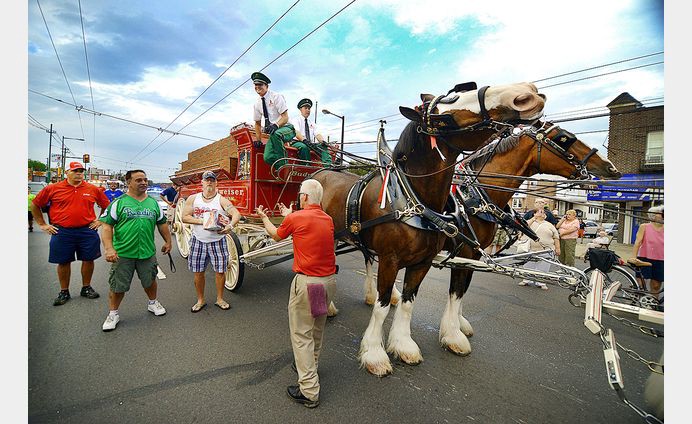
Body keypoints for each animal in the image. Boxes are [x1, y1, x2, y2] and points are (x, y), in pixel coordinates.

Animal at [314, 83, 548, 378]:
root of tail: (321, 171)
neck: (412, 200)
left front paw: (404, 345)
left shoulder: (424, 262)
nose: (526, 93)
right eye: (446, 108)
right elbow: (382, 308)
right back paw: (328, 306)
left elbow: (409, 302)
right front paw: (375, 353)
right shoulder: (391, 260)